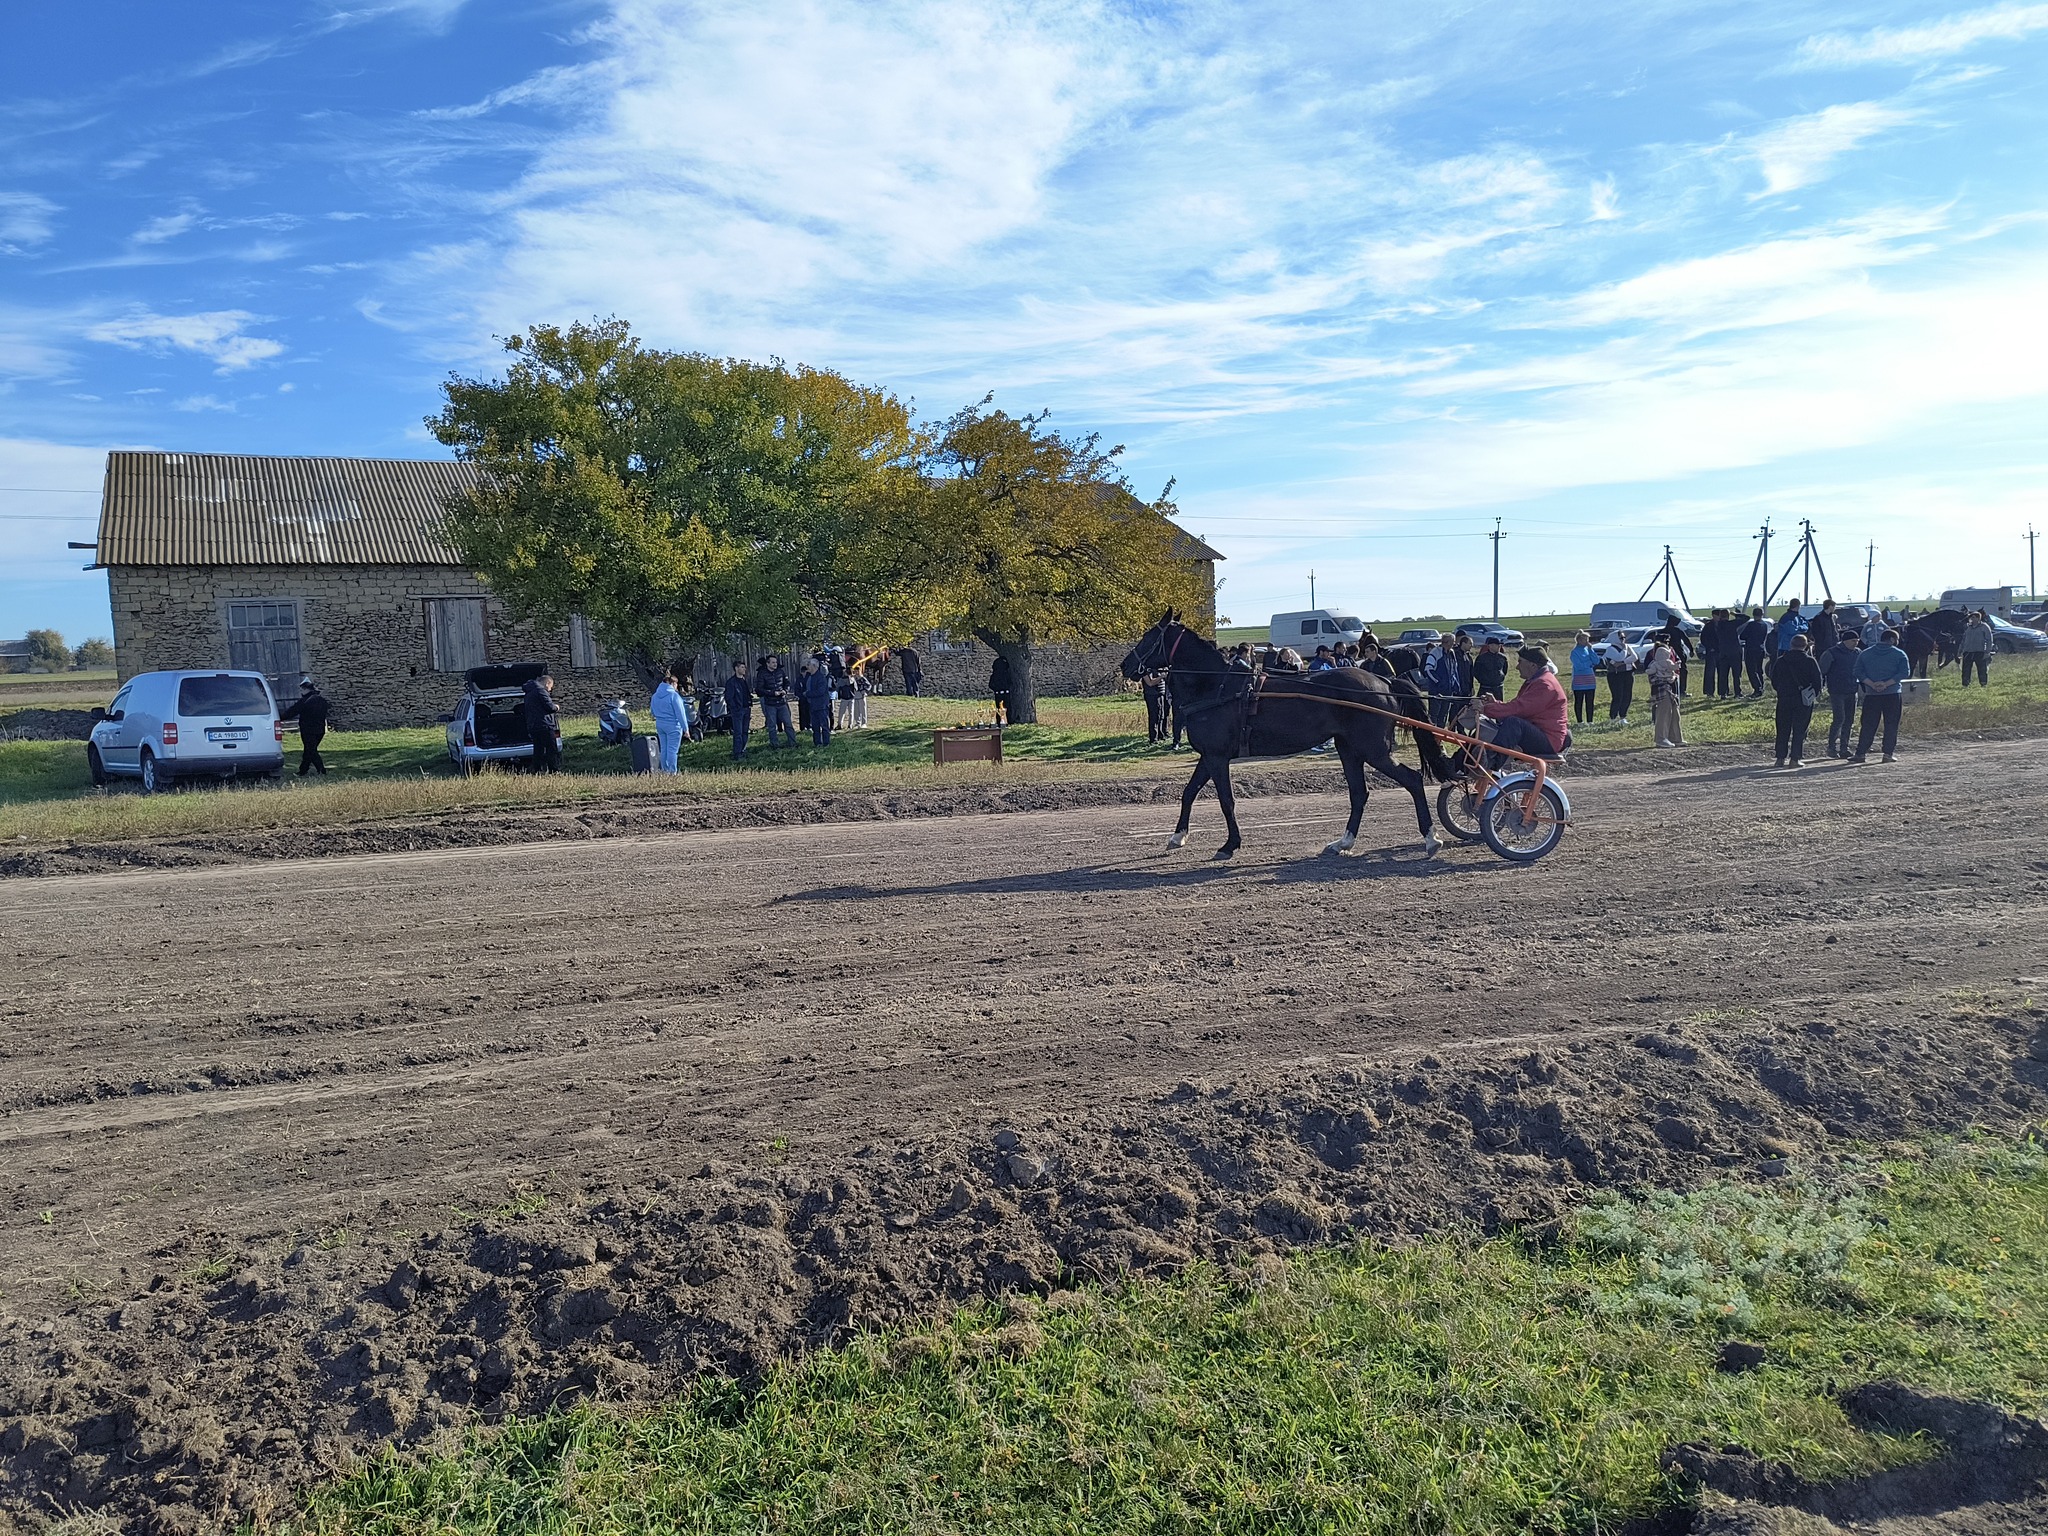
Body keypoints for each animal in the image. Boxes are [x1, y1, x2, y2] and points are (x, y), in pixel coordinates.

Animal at [1122, 614, 1458, 860]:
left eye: (1149, 636)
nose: (1125, 665)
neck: (1217, 687)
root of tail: (1384, 681)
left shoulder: (1217, 757)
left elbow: (1226, 801)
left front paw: (1230, 844)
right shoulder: (1208, 755)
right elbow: (1189, 792)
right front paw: (1178, 836)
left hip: (1373, 749)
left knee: (1411, 780)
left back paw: (1431, 838)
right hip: (1349, 748)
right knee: (1359, 794)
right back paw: (1343, 842)